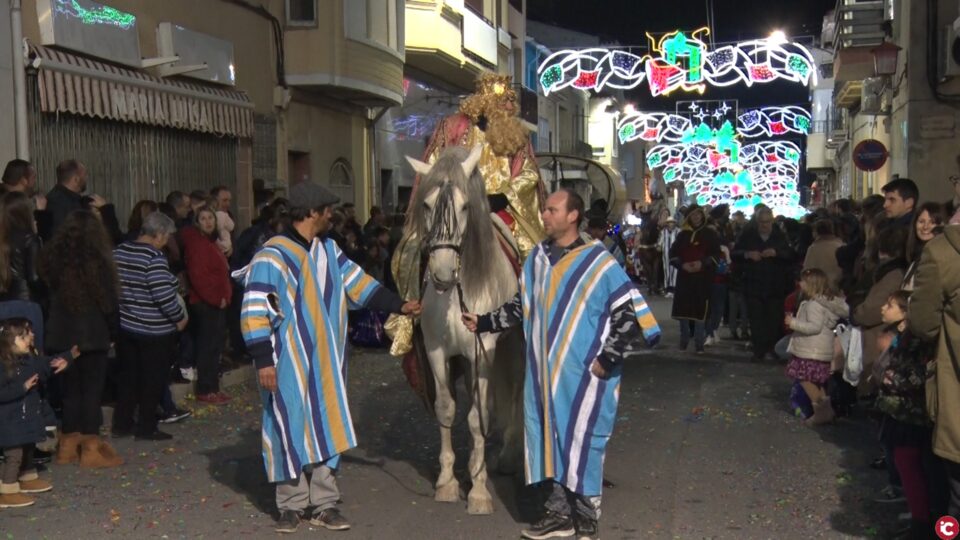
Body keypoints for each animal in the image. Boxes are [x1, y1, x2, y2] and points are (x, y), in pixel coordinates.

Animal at [404, 147, 524, 516]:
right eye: (426, 205)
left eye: (465, 206)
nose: (442, 273)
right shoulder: (437, 351)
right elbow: (446, 408)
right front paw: (447, 482)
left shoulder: (481, 351)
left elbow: (477, 417)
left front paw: (480, 491)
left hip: (512, 346)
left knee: (514, 390)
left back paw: (509, 456)